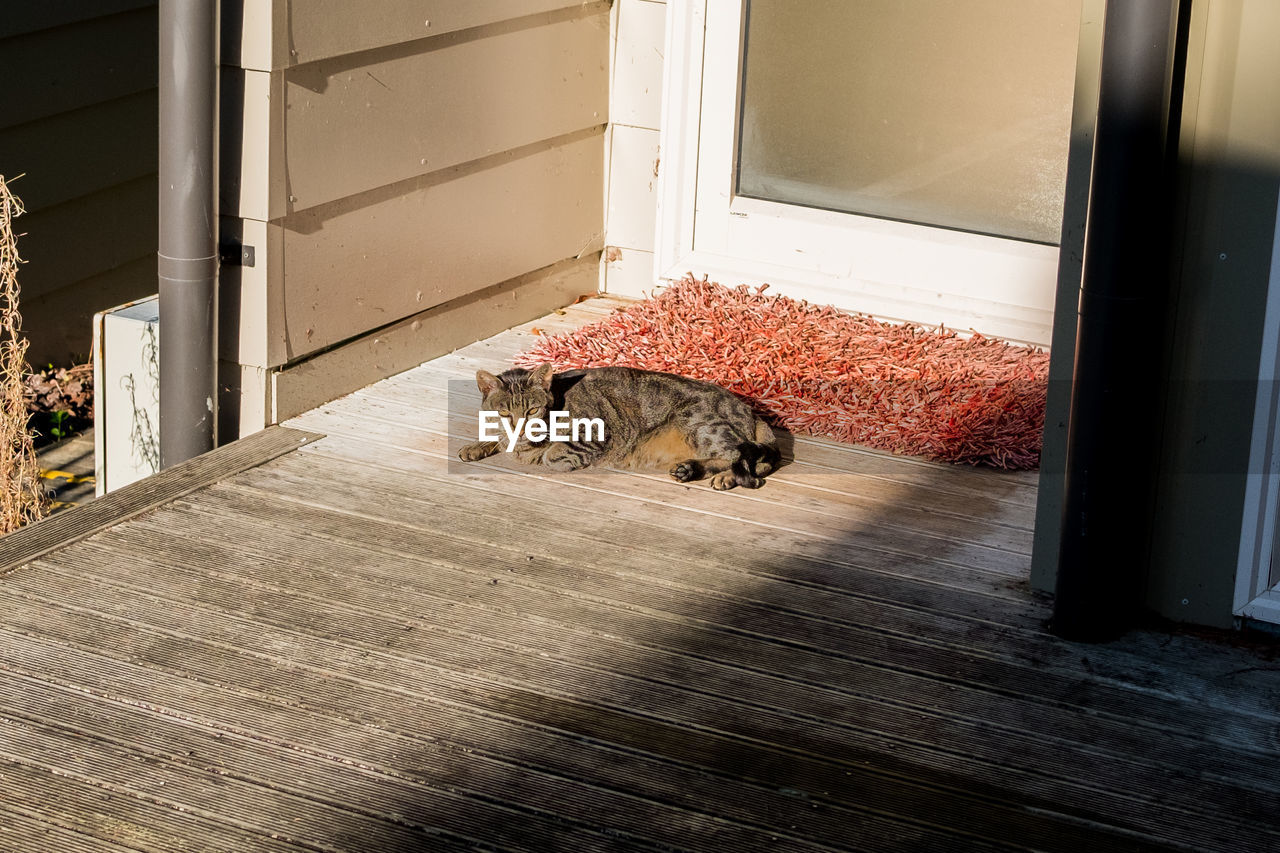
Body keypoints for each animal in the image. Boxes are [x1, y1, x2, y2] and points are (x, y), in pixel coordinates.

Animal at [460, 361, 778, 489]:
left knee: (747, 458)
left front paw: (543, 455)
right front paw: (478, 446)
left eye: (533, 409)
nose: (521, 427)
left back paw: (725, 477)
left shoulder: (595, 432)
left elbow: (553, 454)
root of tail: (750, 410)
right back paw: (689, 469)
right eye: (504, 412)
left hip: (700, 424)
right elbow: (498, 438)